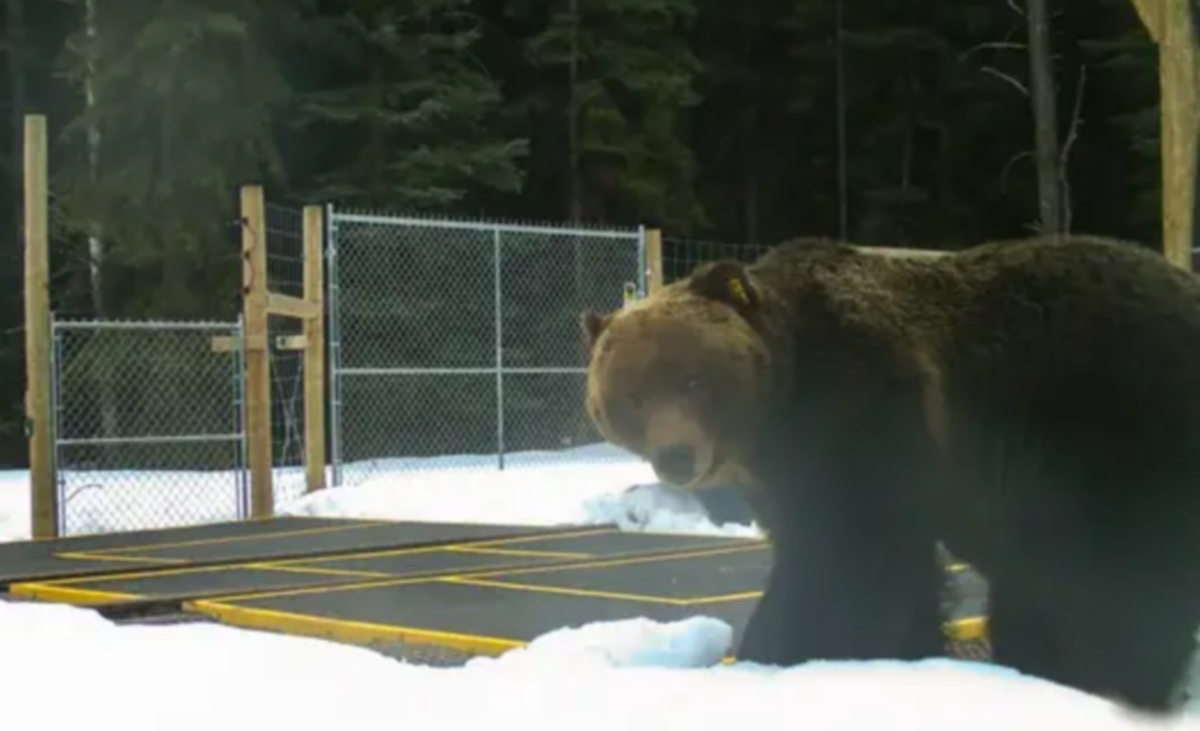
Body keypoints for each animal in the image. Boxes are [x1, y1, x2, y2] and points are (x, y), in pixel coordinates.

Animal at [580, 235, 1200, 710]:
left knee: (1107, 576)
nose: (677, 456)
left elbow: (858, 562)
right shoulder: (784, 477)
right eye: (632, 394)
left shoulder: (864, 415)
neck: (779, 405)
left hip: (1109, 424)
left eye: (693, 379)